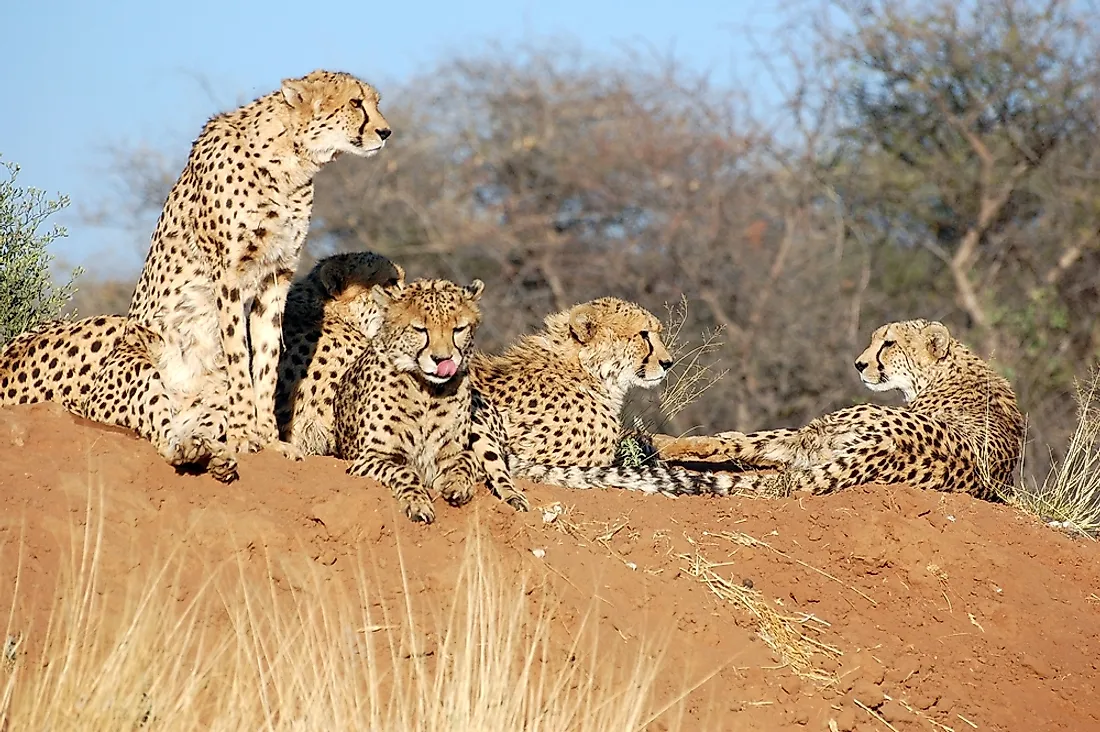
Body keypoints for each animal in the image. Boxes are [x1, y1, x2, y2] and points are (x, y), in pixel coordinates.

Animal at [106, 68, 391, 457]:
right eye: (355, 103)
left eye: (375, 102)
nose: (385, 131)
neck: (290, 163)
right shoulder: (228, 274)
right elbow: (239, 354)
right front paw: (244, 435)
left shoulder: (277, 274)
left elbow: (267, 359)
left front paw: (269, 437)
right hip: (144, 363)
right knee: (162, 434)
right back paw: (193, 449)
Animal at [330, 277, 528, 521]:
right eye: (420, 329)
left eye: (458, 329)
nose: (442, 359)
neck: (427, 390)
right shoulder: (369, 458)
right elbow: (403, 471)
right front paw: (417, 503)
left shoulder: (451, 453)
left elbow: (465, 460)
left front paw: (457, 484)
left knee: (499, 469)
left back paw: (515, 498)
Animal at [651, 317, 1020, 499]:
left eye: (888, 343)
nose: (859, 364)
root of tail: (888, 446)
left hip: (825, 429)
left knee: (744, 445)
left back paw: (661, 442)